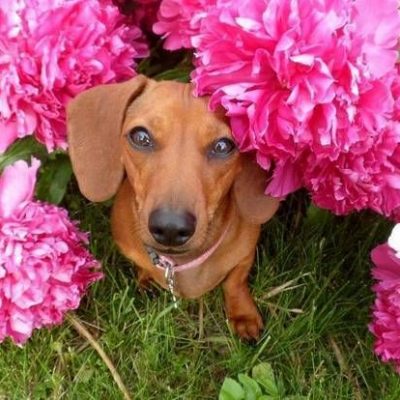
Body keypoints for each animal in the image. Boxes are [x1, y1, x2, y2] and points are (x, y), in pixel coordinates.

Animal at [67, 75, 280, 338]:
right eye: (141, 137)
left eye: (223, 146)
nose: (170, 228)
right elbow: (142, 265)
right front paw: (146, 278)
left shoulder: (245, 253)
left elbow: (234, 281)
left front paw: (243, 315)